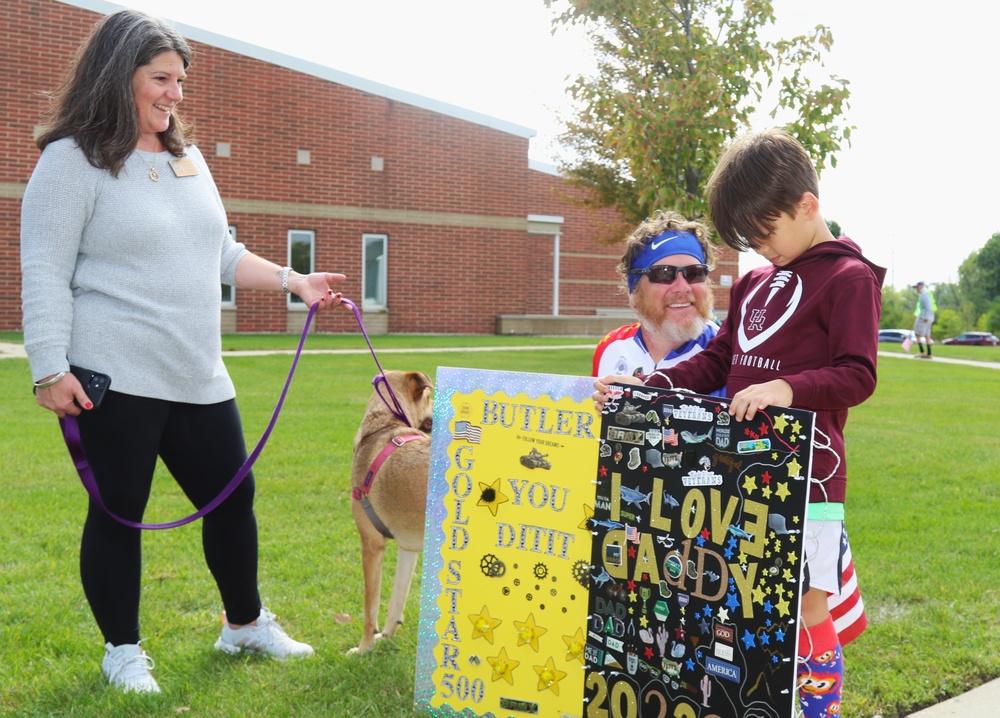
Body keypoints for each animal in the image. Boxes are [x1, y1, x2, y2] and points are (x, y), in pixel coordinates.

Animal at [346, 372, 432, 660]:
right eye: (431, 396)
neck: (385, 425)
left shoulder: (371, 545)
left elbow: (369, 611)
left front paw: (363, 648)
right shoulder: (409, 548)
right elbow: (397, 598)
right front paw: (385, 636)